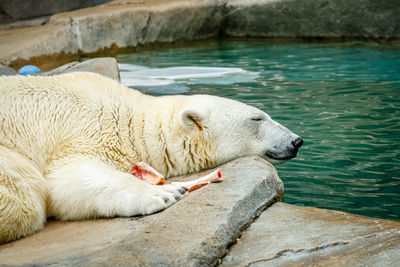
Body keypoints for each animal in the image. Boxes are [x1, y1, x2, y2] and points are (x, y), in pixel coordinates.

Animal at [0, 72, 302, 244]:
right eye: (257, 118)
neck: (131, 121)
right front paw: (166, 192)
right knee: (24, 197)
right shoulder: (86, 129)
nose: (296, 141)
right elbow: (67, 177)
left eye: (264, 114)